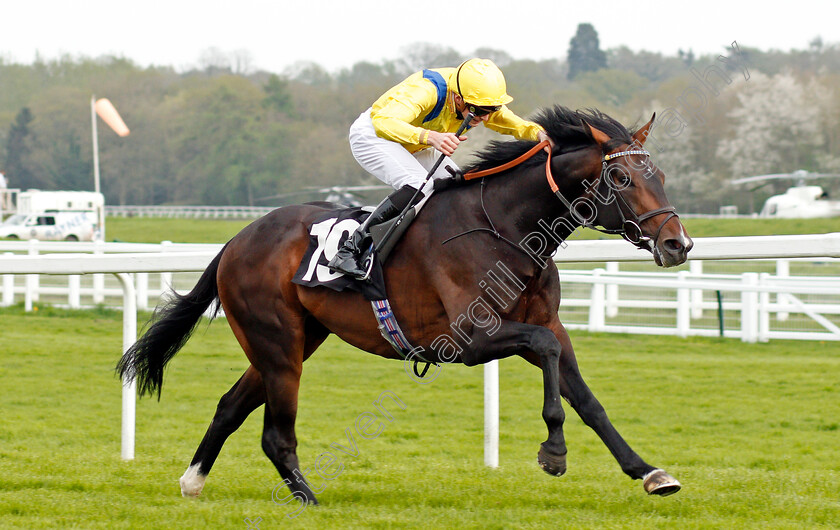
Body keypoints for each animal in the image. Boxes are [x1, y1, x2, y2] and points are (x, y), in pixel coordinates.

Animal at [118, 105, 696, 502]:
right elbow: (547, 358)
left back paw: (193, 481)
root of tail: (238, 240)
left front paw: (650, 473)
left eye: (661, 176)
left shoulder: (550, 325)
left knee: (230, 405)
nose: (678, 244)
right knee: (274, 433)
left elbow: (587, 398)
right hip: (277, 343)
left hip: (294, 339)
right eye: (620, 178)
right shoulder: (471, 338)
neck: (508, 229)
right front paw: (553, 452)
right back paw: (307, 497)